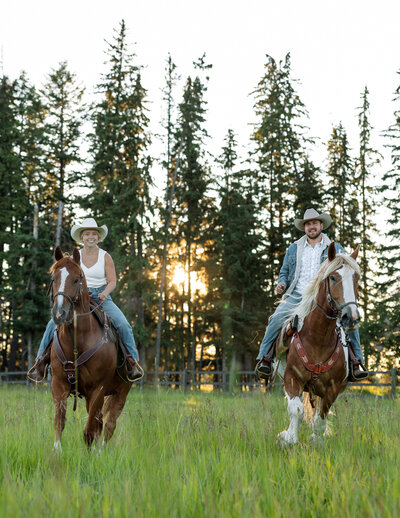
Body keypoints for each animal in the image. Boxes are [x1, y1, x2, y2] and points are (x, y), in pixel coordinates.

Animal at [49, 248, 132, 450]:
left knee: (109, 424)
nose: (59, 313)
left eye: (76, 279)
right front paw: (57, 451)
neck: (78, 340)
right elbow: (59, 420)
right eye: (54, 278)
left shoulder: (99, 388)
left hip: (122, 392)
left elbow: (90, 429)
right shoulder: (58, 384)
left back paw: (101, 449)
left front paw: (93, 452)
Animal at [274, 244, 360, 446]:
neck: (318, 339)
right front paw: (287, 438)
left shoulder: (333, 389)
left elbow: (320, 420)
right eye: (333, 277)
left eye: (356, 278)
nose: (351, 317)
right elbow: (296, 410)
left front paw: (316, 440)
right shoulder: (292, 378)